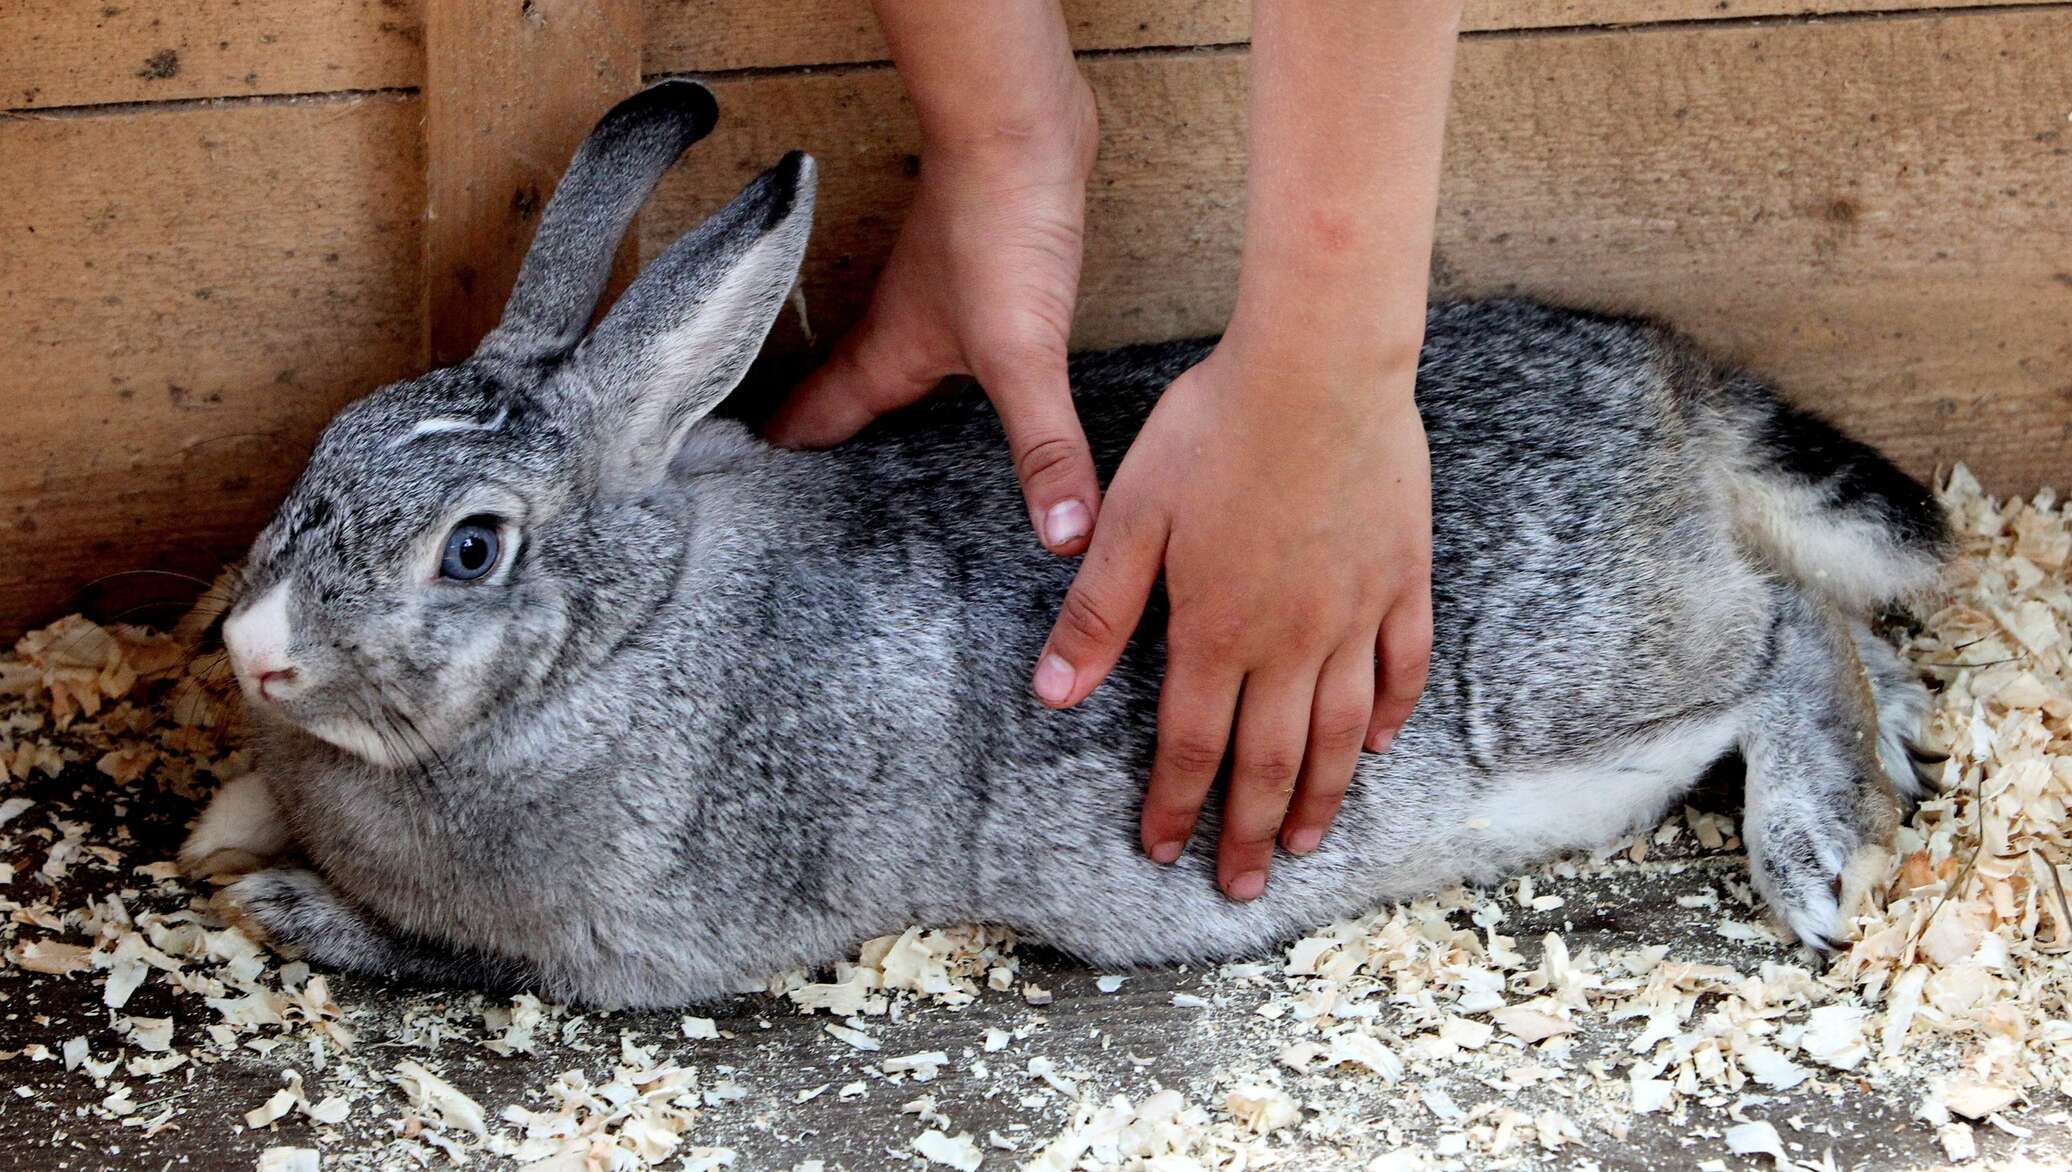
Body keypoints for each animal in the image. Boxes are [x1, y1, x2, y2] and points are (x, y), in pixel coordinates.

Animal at [174, 82, 1939, 1014]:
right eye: (330, 445)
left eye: (472, 552)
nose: (255, 651)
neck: (628, 631)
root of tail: (1667, 383)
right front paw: (220, 822)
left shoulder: (615, 947)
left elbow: (428, 951)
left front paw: (276, 901)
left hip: (1572, 679)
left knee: (1786, 631)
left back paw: (1817, 850)